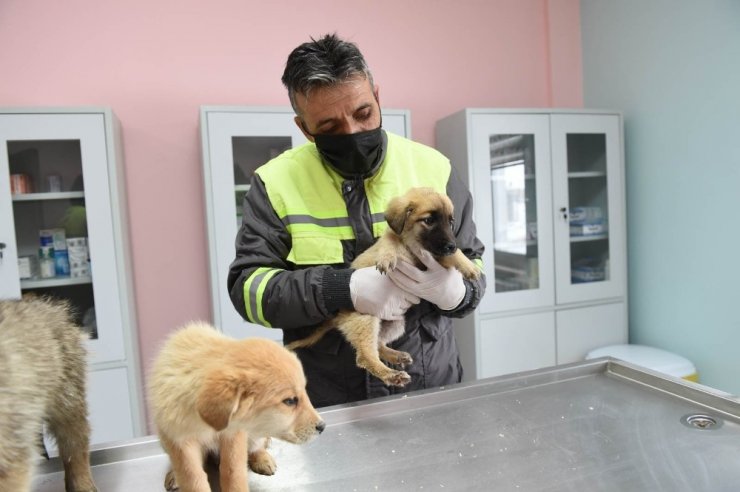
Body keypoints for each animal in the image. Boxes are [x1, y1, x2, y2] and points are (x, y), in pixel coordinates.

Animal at [148, 320, 324, 490]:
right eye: (290, 401)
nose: (322, 426)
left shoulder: (234, 435)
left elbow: (232, 471)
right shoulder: (179, 441)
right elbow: (192, 477)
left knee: (257, 446)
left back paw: (263, 459)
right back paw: (174, 475)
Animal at [286, 188, 482, 388]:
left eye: (450, 222)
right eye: (429, 220)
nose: (452, 245)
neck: (411, 245)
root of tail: (338, 317)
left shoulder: (431, 258)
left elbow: (449, 256)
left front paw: (468, 266)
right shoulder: (397, 243)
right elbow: (389, 241)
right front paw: (387, 257)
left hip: (396, 324)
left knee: (378, 345)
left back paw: (396, 356)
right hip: (366, 320)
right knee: (365, 356)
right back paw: (391, 375)